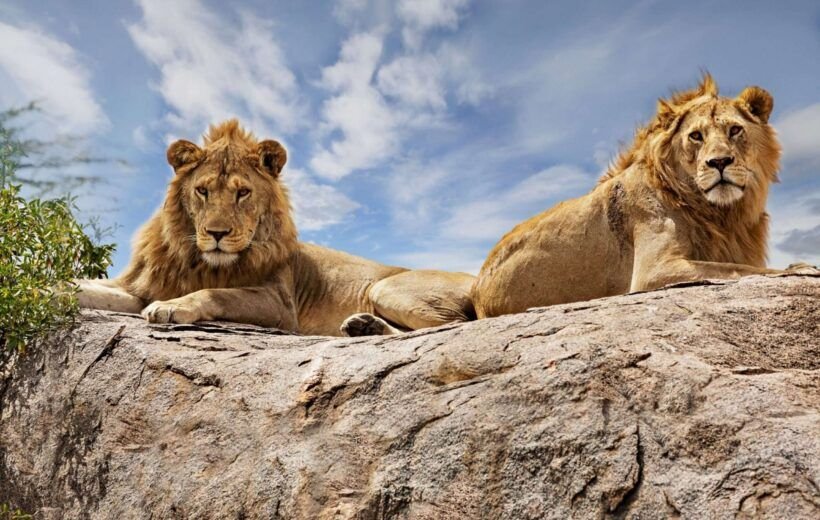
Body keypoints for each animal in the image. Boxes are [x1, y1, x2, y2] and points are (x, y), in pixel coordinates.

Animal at [78, 119, 474, 336]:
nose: (217, 234)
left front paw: (172, 307)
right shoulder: (139, 287)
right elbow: (91, 288)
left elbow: (215, 293)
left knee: (453, 325)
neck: (195, 258)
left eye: (243, 193)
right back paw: (364, 327)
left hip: (386, 288)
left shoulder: (280, 304)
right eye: (203, 191)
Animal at [470, 74, 816, 316]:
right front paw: (803, 268)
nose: (719, 162)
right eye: (696, 136)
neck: (721, 214)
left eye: (735, 130)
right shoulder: (654, 270)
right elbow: (743, 271)